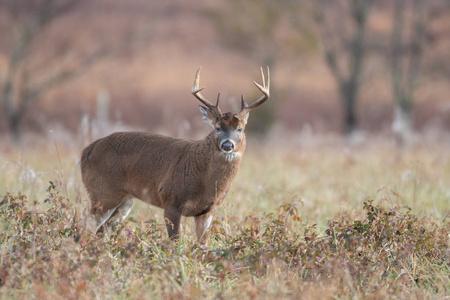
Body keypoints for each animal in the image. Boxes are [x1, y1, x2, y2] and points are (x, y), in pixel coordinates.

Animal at [79, 67, 270, 243]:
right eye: (217, 128)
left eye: (240, 128)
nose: (227, 145)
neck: (204, 180)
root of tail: (86, 152)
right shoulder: (171, 200)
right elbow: (175, 244)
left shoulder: (207, 211)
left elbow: (203, 245)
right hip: (102, 192)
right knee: (86, 227)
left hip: (125, 201)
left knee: (100, 231)